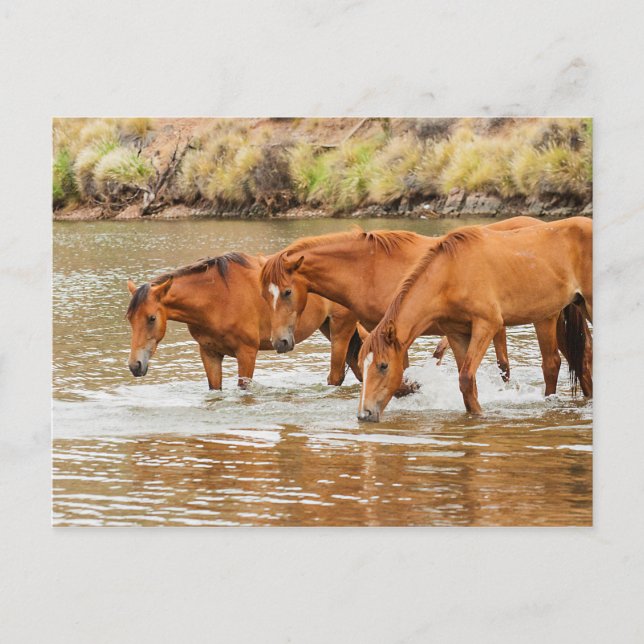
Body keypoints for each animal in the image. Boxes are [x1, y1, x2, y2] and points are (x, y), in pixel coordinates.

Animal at [126, 252, 362, 390]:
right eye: (129, 319)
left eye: (152, 318)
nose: (135, 365)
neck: (217, 298)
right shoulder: (209, 353)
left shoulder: (247, 353)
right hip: (329, 328)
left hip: (341, 331)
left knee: (336, 376)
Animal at [259, 216, 592, 395]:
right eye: (265, 295)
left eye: (286, 292)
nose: (280, 342)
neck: (369, 268)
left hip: (545, 316)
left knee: (553, 364)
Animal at [357, 217, 592, 419]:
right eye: (361, 366)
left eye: (383, 365)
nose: (364, 414)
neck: (451, 274)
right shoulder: (456, 333)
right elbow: (468, 382)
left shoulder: (487, 325)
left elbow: (466, 378)